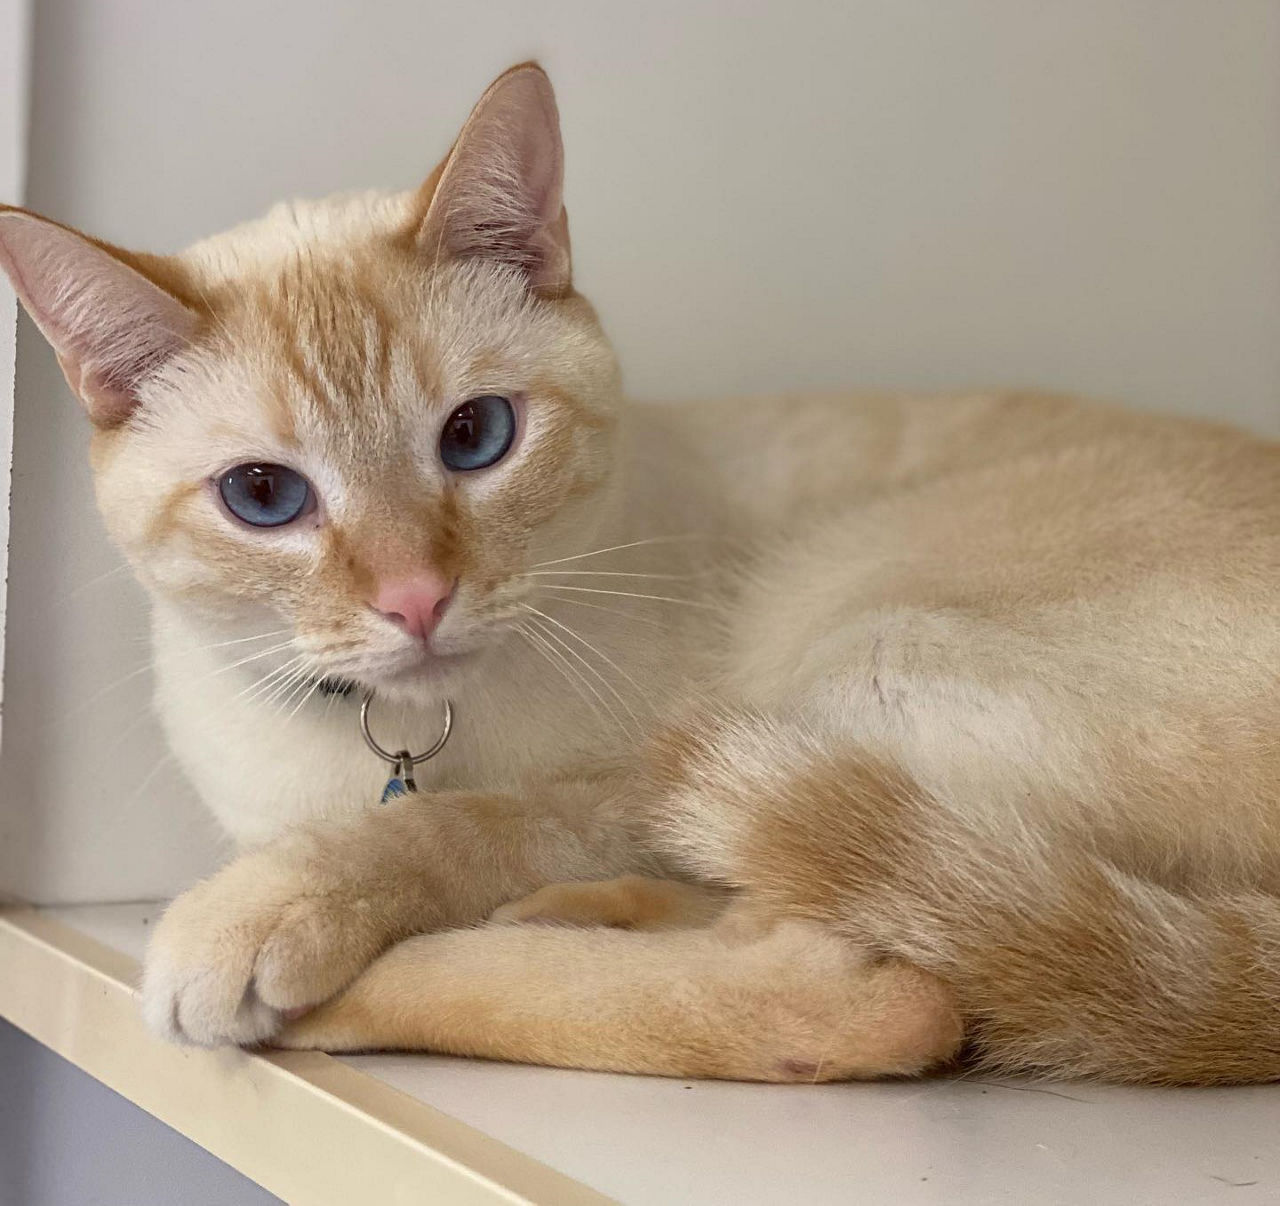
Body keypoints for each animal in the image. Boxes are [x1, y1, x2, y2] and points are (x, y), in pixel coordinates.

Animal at [2, 61, 1280, 1090]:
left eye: (475, 437)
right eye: (264, 498)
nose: (415, 600)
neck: (399, 741)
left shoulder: (641, 777)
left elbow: (463, 827)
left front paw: (267, 910)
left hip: (856, 653)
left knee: (876, 997)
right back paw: (579, 916)